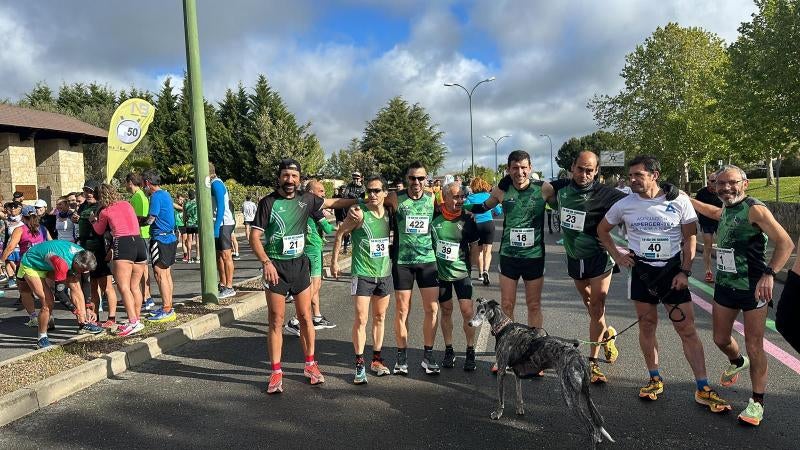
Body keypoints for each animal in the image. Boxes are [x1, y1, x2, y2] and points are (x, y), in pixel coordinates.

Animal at [468, 298, 612, 448]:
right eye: (476, 310)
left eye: (482, 311)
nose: (470, 323)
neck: (503, 327)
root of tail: (579, 357)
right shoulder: (517, 374)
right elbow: (519, 395)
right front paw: (520, 410)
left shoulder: (501, 371)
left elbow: (500, 399)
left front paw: (498, 414)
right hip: (585, 392)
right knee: (597, 421)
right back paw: (599, 437)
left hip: (569, 397)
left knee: (591, 428)